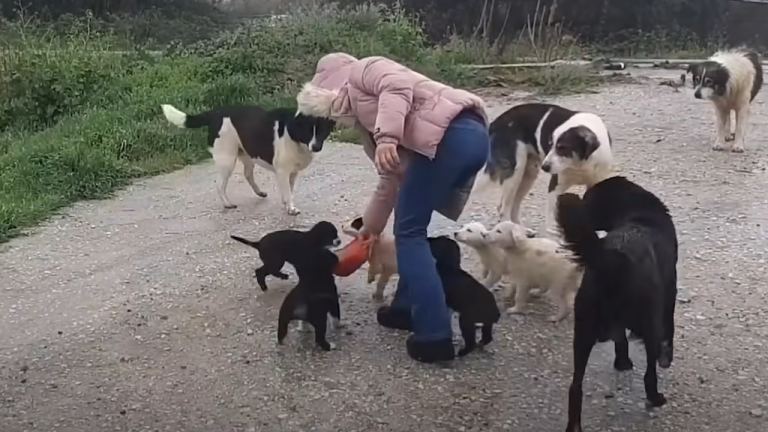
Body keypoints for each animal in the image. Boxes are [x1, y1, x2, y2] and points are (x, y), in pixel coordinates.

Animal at [472, 103, 616, 238]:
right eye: (550, 144)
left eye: (562, 148)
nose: (545, 167)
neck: (581, 164)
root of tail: (496, 122)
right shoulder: (555, 187)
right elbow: (553, 216)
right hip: (515, 172)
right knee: (503, 209)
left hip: (528, 175)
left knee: (513, 206)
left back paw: (521, 230)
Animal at [556, 176, 676, 432]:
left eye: (589, 199)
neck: (637, 211)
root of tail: (613, 260)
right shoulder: (671, 288)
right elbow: (669, 329)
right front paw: (666, 357)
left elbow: (620, 340)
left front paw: (622, 362)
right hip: (649, 322)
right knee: (649, 374)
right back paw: (655, 398)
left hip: (582, 333)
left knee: (575, 387)